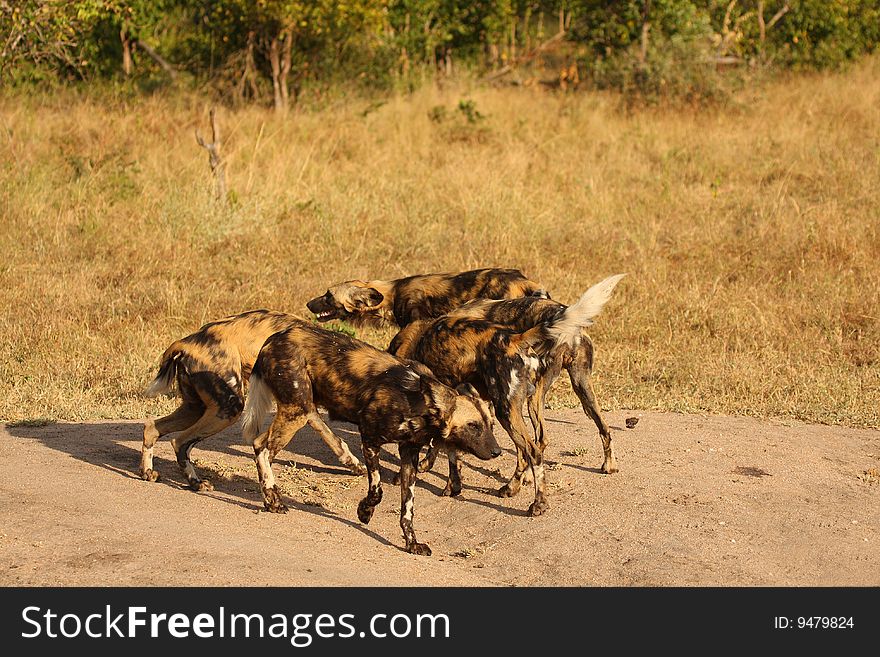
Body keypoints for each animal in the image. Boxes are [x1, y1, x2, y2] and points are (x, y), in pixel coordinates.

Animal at [140, 310, 364, 490]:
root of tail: (187, 342)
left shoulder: (305, 408)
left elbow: (333, 439)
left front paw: (353, 464)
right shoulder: (300, 408)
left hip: (195, 408)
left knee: (153, 427)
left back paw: (151, 473)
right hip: (229, 408)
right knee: (180, 441)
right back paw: (195, 482)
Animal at [239, 320, 502, 556]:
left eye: (490, 425)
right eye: (473, 426)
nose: (497, 452)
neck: (417, 402)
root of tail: (273, 338)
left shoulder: (409, 454)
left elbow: (407, 510)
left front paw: (411, 544)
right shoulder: (370, 440)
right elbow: (377, 490)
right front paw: (364, 512)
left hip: (303, 407)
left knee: (309, 424)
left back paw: (347, 463)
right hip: (295, 411)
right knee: (261, 446)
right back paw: (272, 500)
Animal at [392, 274, 624, 516]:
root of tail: (515, 338)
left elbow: (441, 446)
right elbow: (448, 446)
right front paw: (446, 479)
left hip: (508, 409)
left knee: (531, 450)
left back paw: (533, 501)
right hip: (573, 388)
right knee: (593, 430)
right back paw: (605, 466)